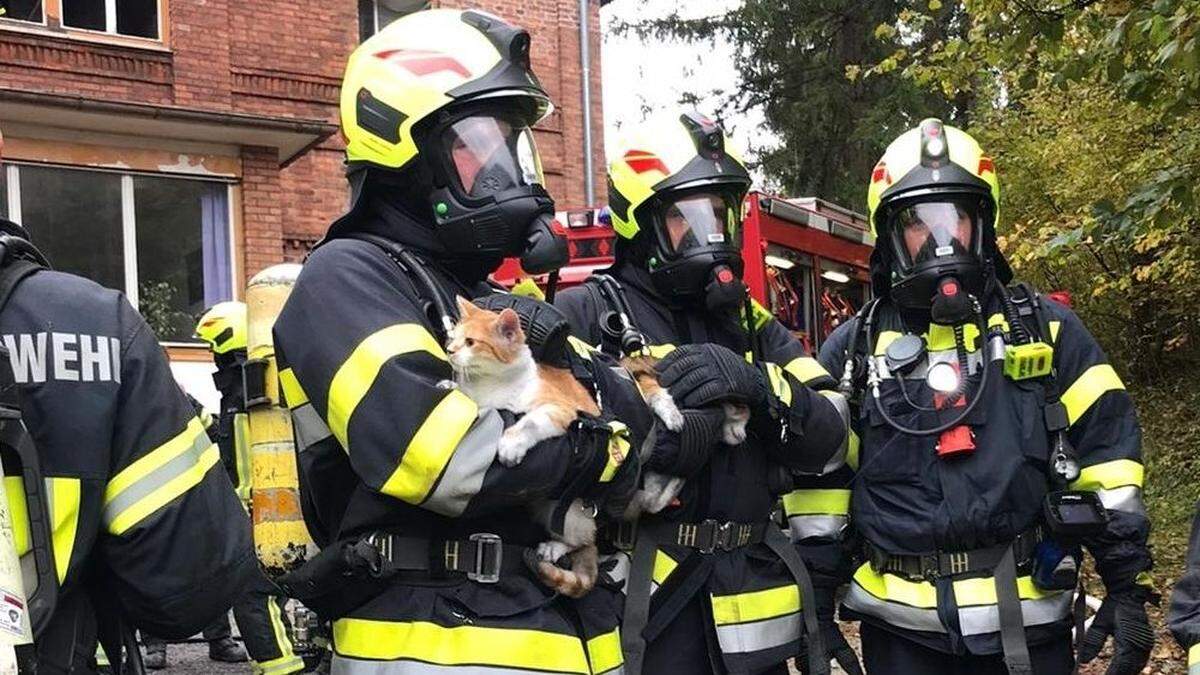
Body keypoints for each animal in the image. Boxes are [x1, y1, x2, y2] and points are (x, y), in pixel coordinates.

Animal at [446, 296, 600, 595]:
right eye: (453, 337)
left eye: (470, 342)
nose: (449, 350)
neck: (490, 384)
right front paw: (450, 385)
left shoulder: (560, 409)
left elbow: (529, 422)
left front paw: (511, 444)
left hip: (566, 511)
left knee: (583, 539)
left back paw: (556, 547)